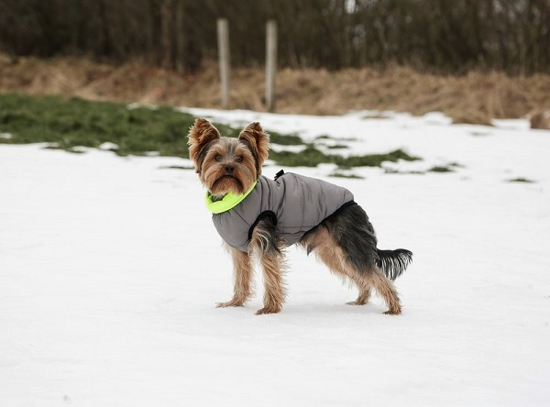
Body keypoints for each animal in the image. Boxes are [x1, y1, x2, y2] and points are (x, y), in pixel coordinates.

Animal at [188, 118, 412, 316]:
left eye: (241, 158)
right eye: (217, 157)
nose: (228, 167)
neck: (234, 197)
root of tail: (356, 206)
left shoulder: (265, 239)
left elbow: (271, 276)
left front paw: (269, 309)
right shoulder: (239, 249)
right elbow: (241, 277)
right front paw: (234, 304)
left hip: (349, 244)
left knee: (374, 274)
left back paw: (394, 309)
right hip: (333, 252)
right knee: (362, 274)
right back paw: (361, 301)